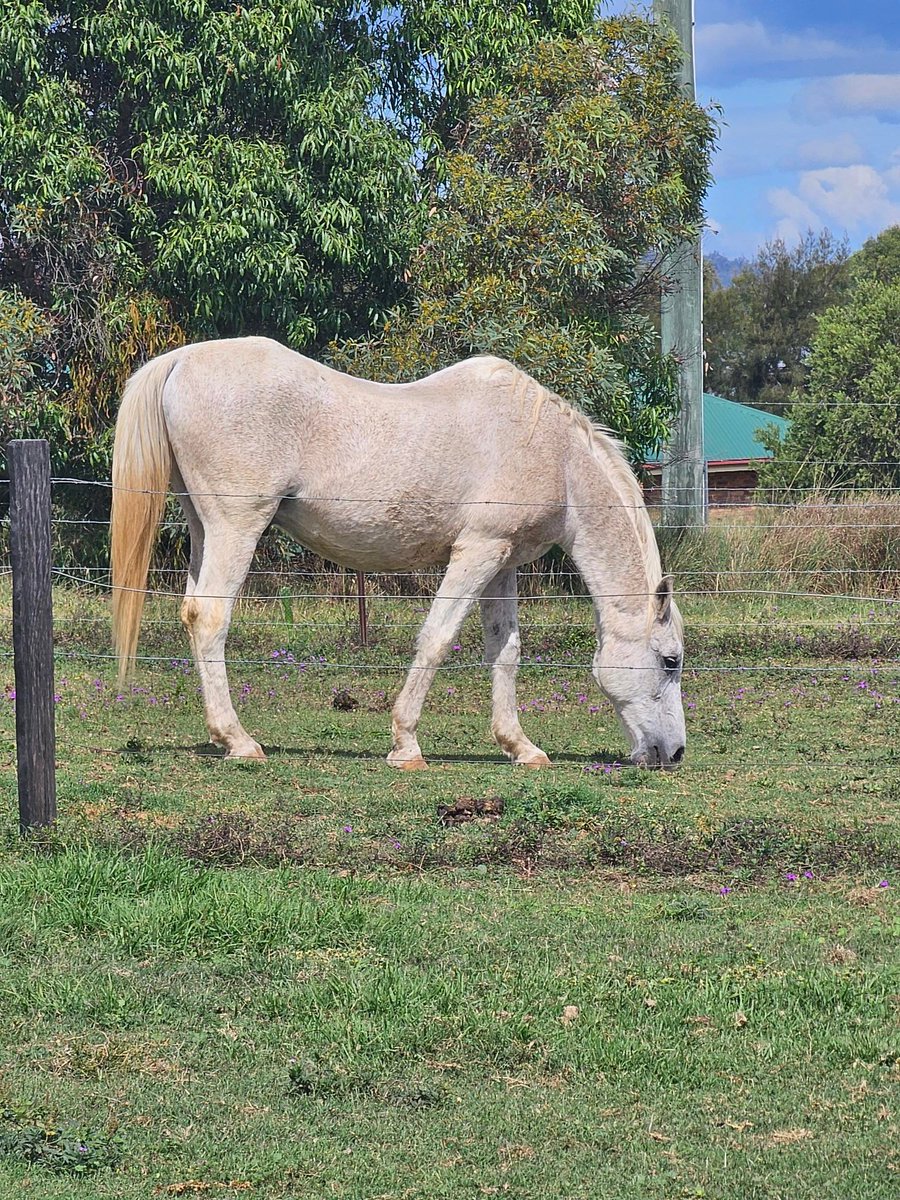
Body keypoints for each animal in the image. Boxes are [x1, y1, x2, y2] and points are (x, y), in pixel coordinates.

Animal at [111, 338, 691, 768]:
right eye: (670, 661)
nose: (675, 753)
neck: (555, 456)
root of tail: (181, 360)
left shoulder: (502, 562)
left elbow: (505, 651)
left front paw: (520, 747)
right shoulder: (477, 552)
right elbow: (436, 639)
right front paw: (406, 744)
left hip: (204, 529)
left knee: (192, 613)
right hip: (237, 527)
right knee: (211, 618)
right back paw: (239, 741)